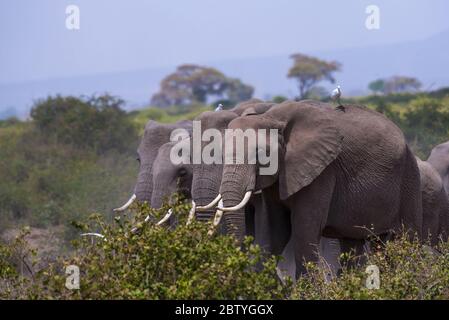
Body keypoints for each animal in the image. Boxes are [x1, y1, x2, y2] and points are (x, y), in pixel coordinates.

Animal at [215, 100, 422, 278]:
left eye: (260, 154)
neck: (271, 117)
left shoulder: (322, 172)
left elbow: (304, 229)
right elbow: (275, 230)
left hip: (409, 179)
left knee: (400, 243)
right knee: (355, 243)